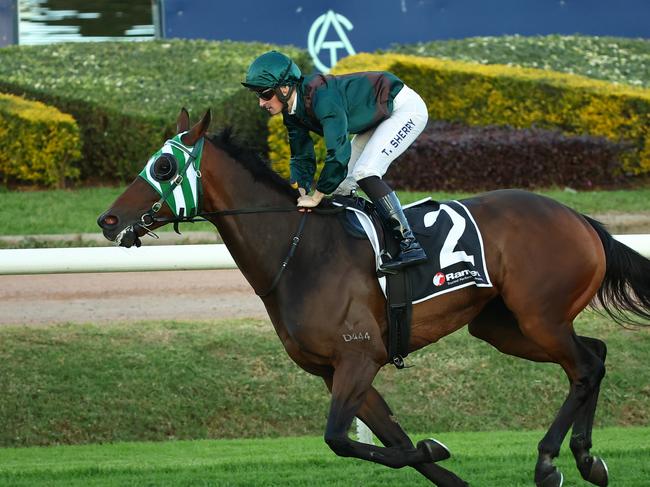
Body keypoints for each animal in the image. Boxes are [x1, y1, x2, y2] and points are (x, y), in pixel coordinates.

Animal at [97, 109, 648, 487]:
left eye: (163, 167)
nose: (107, 219)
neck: (301, 251)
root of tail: (581, 219)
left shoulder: (360, 356)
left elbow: (340, 439)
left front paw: (436, 447)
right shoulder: (333, 371)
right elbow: (393, 440)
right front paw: (437, 456)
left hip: (538, 318)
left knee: (584, 366)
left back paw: (551, 459)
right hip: (502, 325)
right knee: (595, 355)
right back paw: (587, 457)